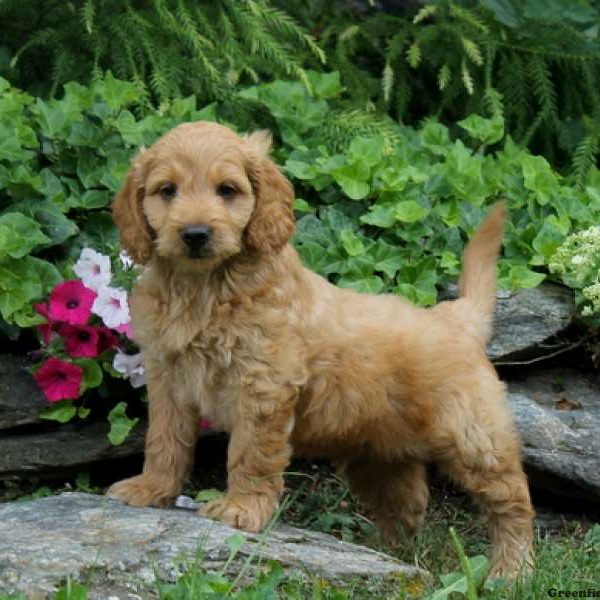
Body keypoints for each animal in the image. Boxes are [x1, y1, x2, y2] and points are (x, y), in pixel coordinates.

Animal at [108, 120, 536, 576]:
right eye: (167, 190)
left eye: (227, 190)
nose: (194, 234)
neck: (202, 288)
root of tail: (455, 316)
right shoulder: (167, 378)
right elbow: (165, 439)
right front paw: (151, 488)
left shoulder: (263, 385)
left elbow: (251, 453)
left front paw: (241, 508)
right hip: (378, 456)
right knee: (407, 504)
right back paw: (387, 556)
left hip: (473, 437)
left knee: (512, 501)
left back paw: (512, 571)